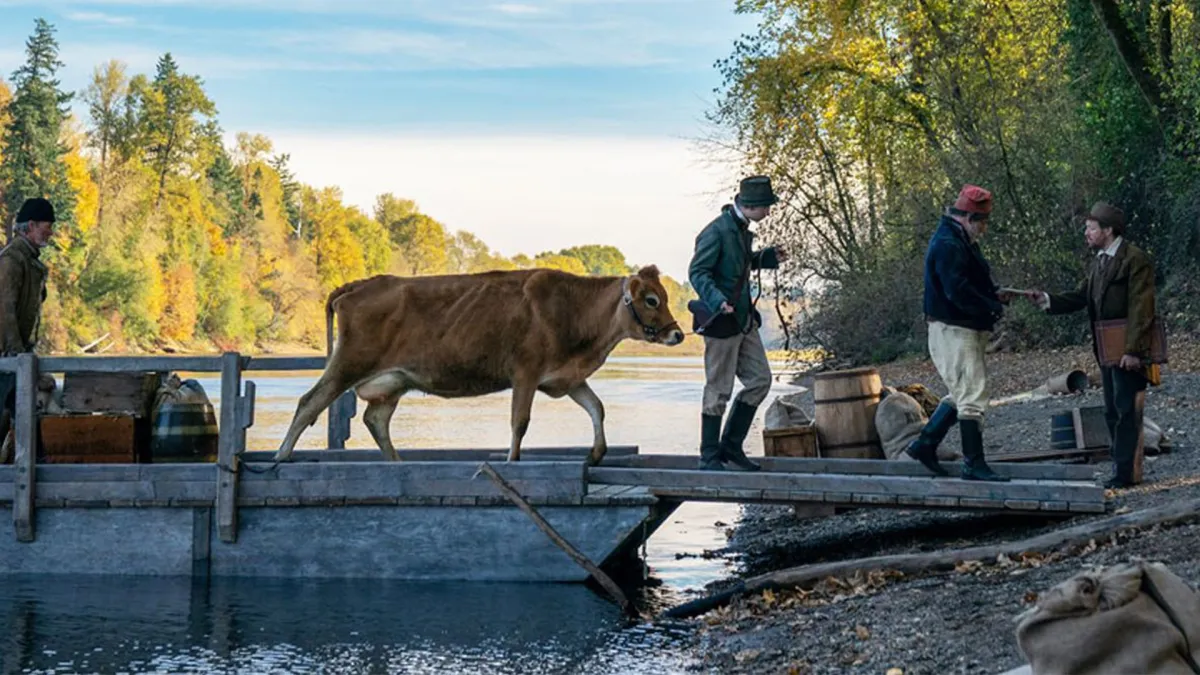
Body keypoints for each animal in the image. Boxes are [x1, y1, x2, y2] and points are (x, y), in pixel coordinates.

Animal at [274, 263, 686, 461]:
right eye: (651, 299)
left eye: (664, 296)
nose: (678, 334)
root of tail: (361, 284)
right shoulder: (525, 371)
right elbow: (520, 422)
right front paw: (511, 461)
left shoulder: (565, 377)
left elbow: (597, 408)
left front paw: (598, 453)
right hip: (348, 362)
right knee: (309, 402)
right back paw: (280, 458)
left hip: (392, 382)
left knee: (376, 420)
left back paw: (397, 463)